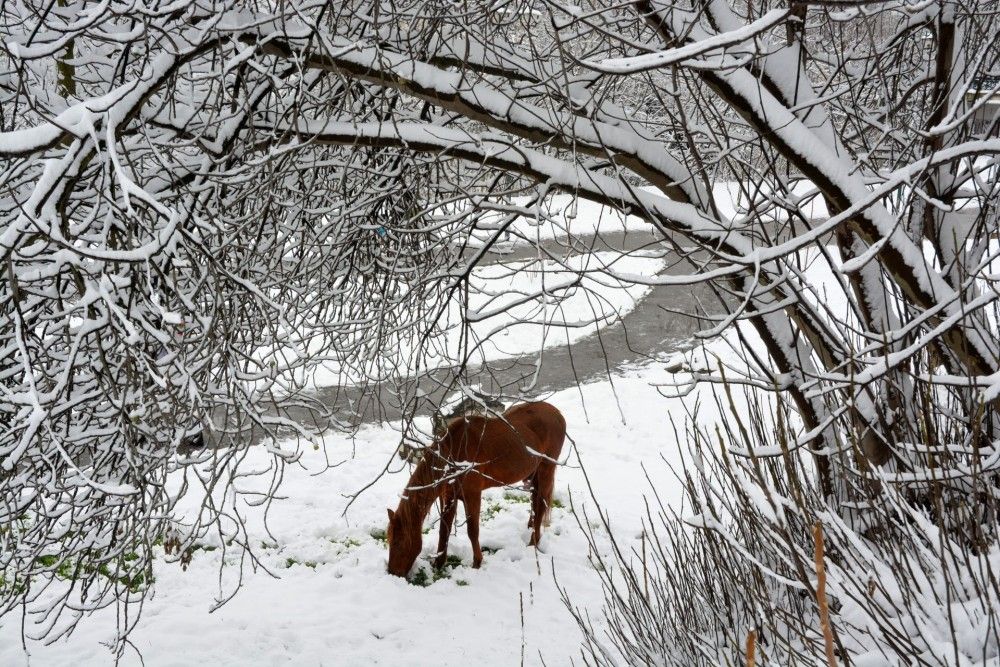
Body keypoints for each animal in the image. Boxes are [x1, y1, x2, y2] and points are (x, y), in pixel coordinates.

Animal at [386, 402, 568, 580]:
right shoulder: (448, 497)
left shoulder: (472, 495)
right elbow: (444, 530)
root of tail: (557, 413)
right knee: (534, 499)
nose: (392, 572)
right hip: (533, 473)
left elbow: (472, 530)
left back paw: (533, 541)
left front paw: (477, 562)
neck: (453, 452)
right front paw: (439, 563)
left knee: (541, 504)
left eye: (397, 542)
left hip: (546, 469)